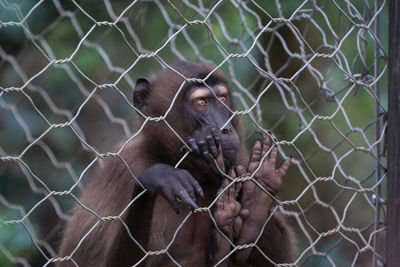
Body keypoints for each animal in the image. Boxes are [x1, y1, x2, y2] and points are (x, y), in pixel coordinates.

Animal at [56, 61, 296, 266]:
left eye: (222, 99)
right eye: (201, 103)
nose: (226, 128)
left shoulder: (239, 161)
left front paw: (258, 195)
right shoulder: (130, 164)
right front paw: (158, 178)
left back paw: (257, 203)